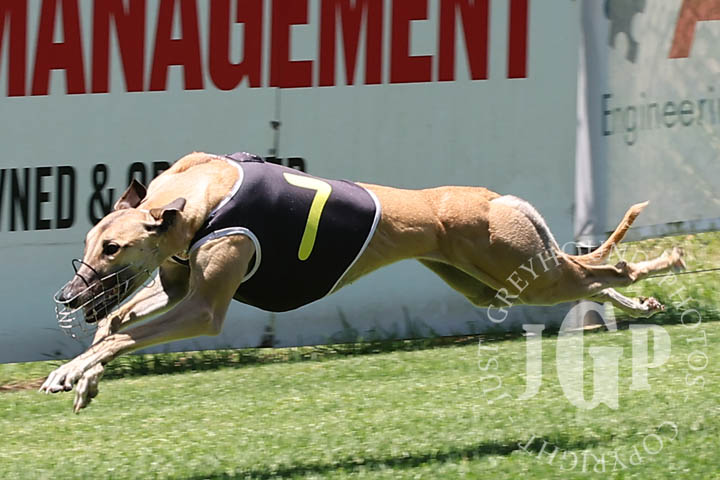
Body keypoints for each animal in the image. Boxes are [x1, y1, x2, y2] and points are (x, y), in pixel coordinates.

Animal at [40, 152, 685, 412]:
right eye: (89, 242)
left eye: (113, 247)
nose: (67, 296)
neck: (200, 196)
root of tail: (497, 198)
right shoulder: (178, 286)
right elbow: (116, 322)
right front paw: (85, 377)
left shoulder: (203, 308)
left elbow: (122, 331)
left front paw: (71, 372)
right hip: (498, 281)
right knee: (592, 276)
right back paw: (641, 303)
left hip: (521, 273)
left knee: (609, 267)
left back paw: (668, 265)